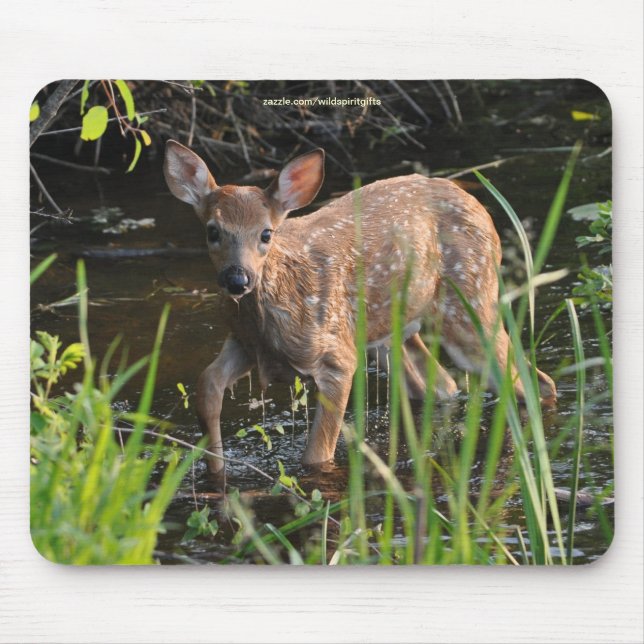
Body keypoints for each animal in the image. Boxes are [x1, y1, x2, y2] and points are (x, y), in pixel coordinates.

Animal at [163, 140, 557, 476]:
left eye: (265, 233)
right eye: (213, 231)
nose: (237, 279)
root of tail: (480, 209)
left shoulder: (336, 356)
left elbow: (316, 454)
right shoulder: (245, 344)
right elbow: (207, 383)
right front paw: (216, 468)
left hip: (470, 304)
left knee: (531, 382)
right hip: (393, 331)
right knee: (442, 384)